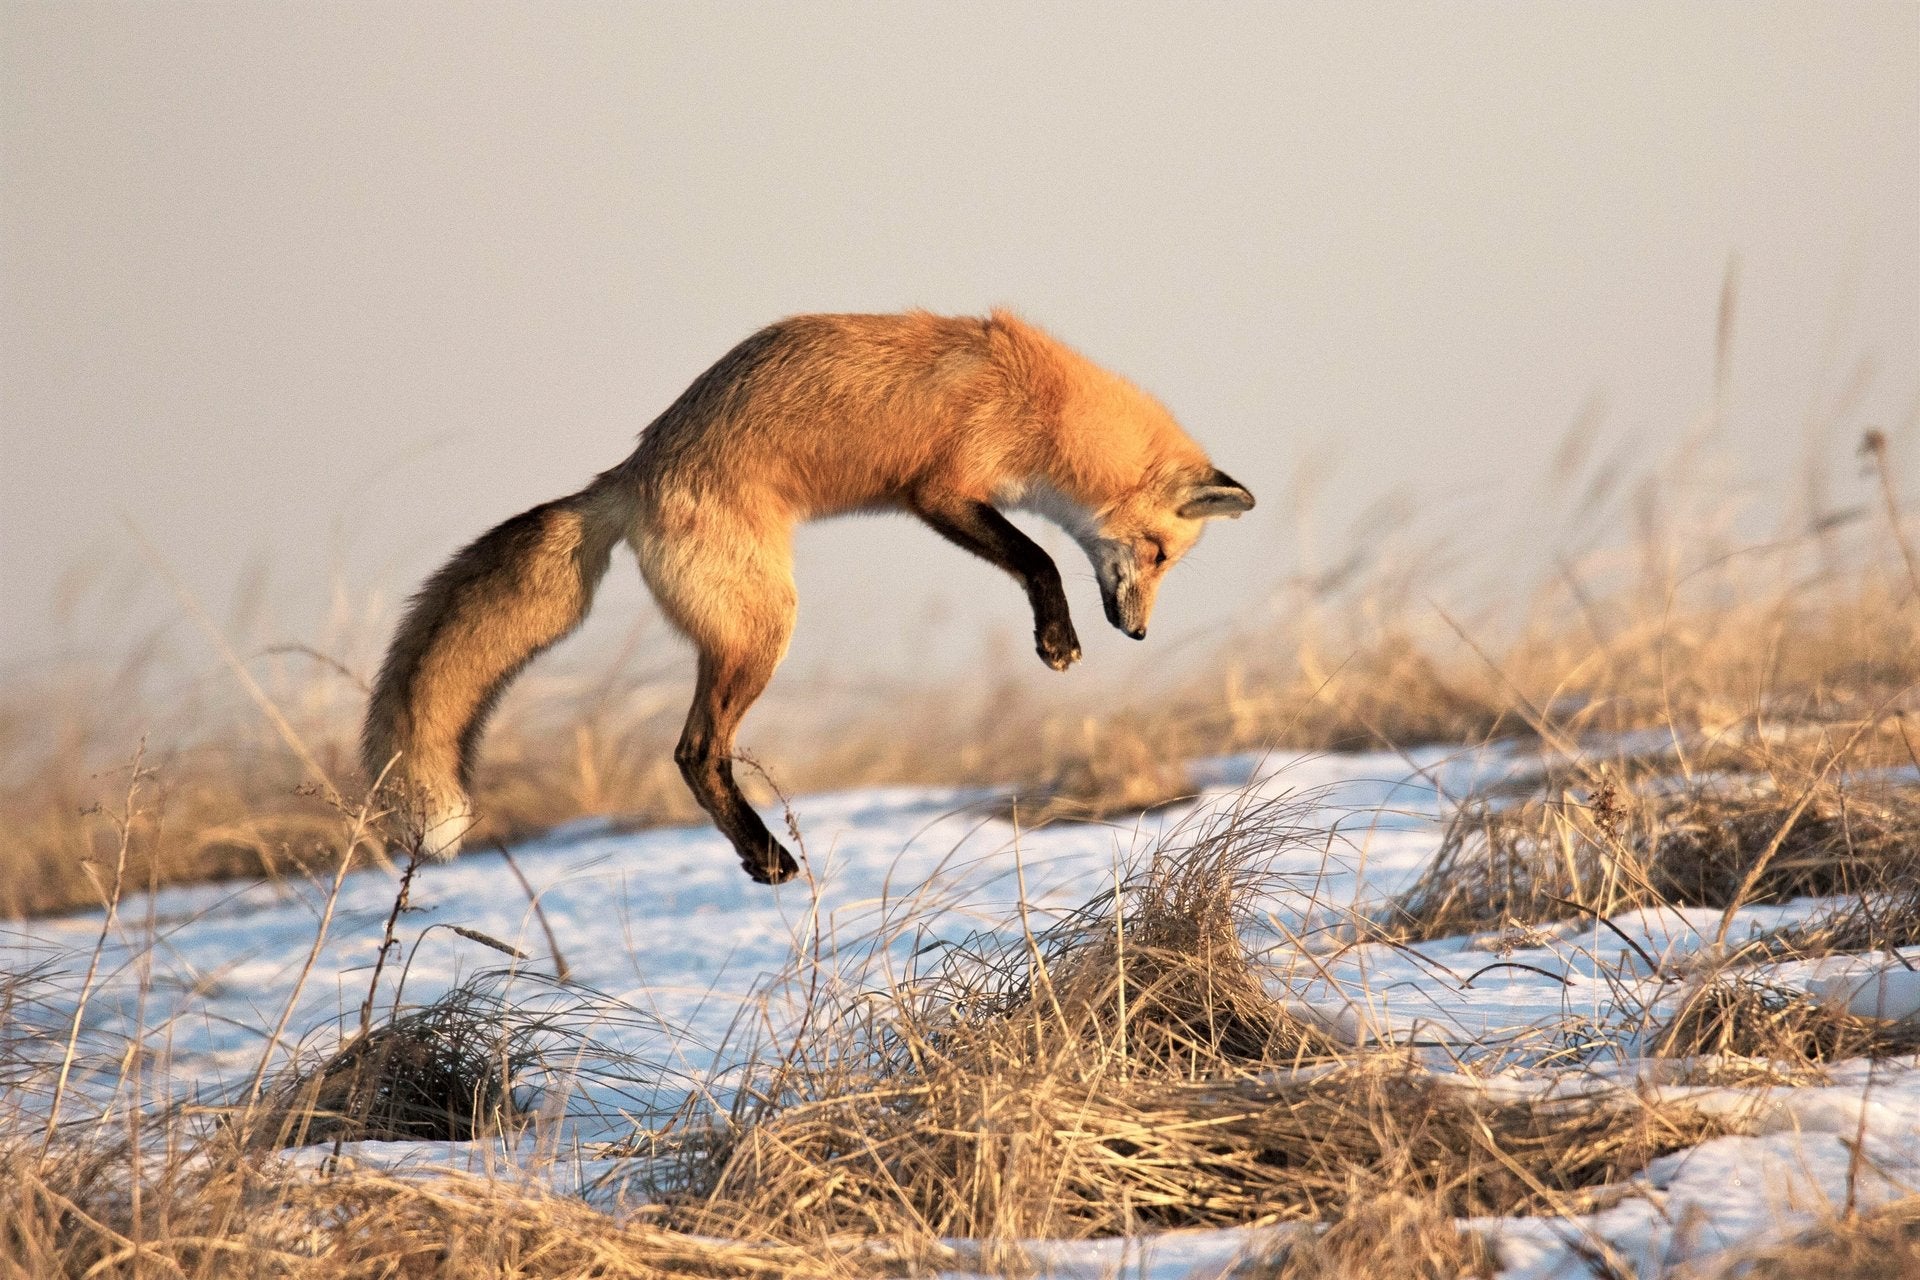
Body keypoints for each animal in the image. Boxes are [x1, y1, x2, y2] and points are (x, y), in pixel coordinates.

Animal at [362, 309, 1254, 884]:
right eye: (1158, 554)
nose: (1137, 635)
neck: (1043, 406)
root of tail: (629, 472)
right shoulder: (940, 490)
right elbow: (1038, 557)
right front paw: (1056, 637)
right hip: (763, 627)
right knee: (694, 751)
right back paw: (766, 857)